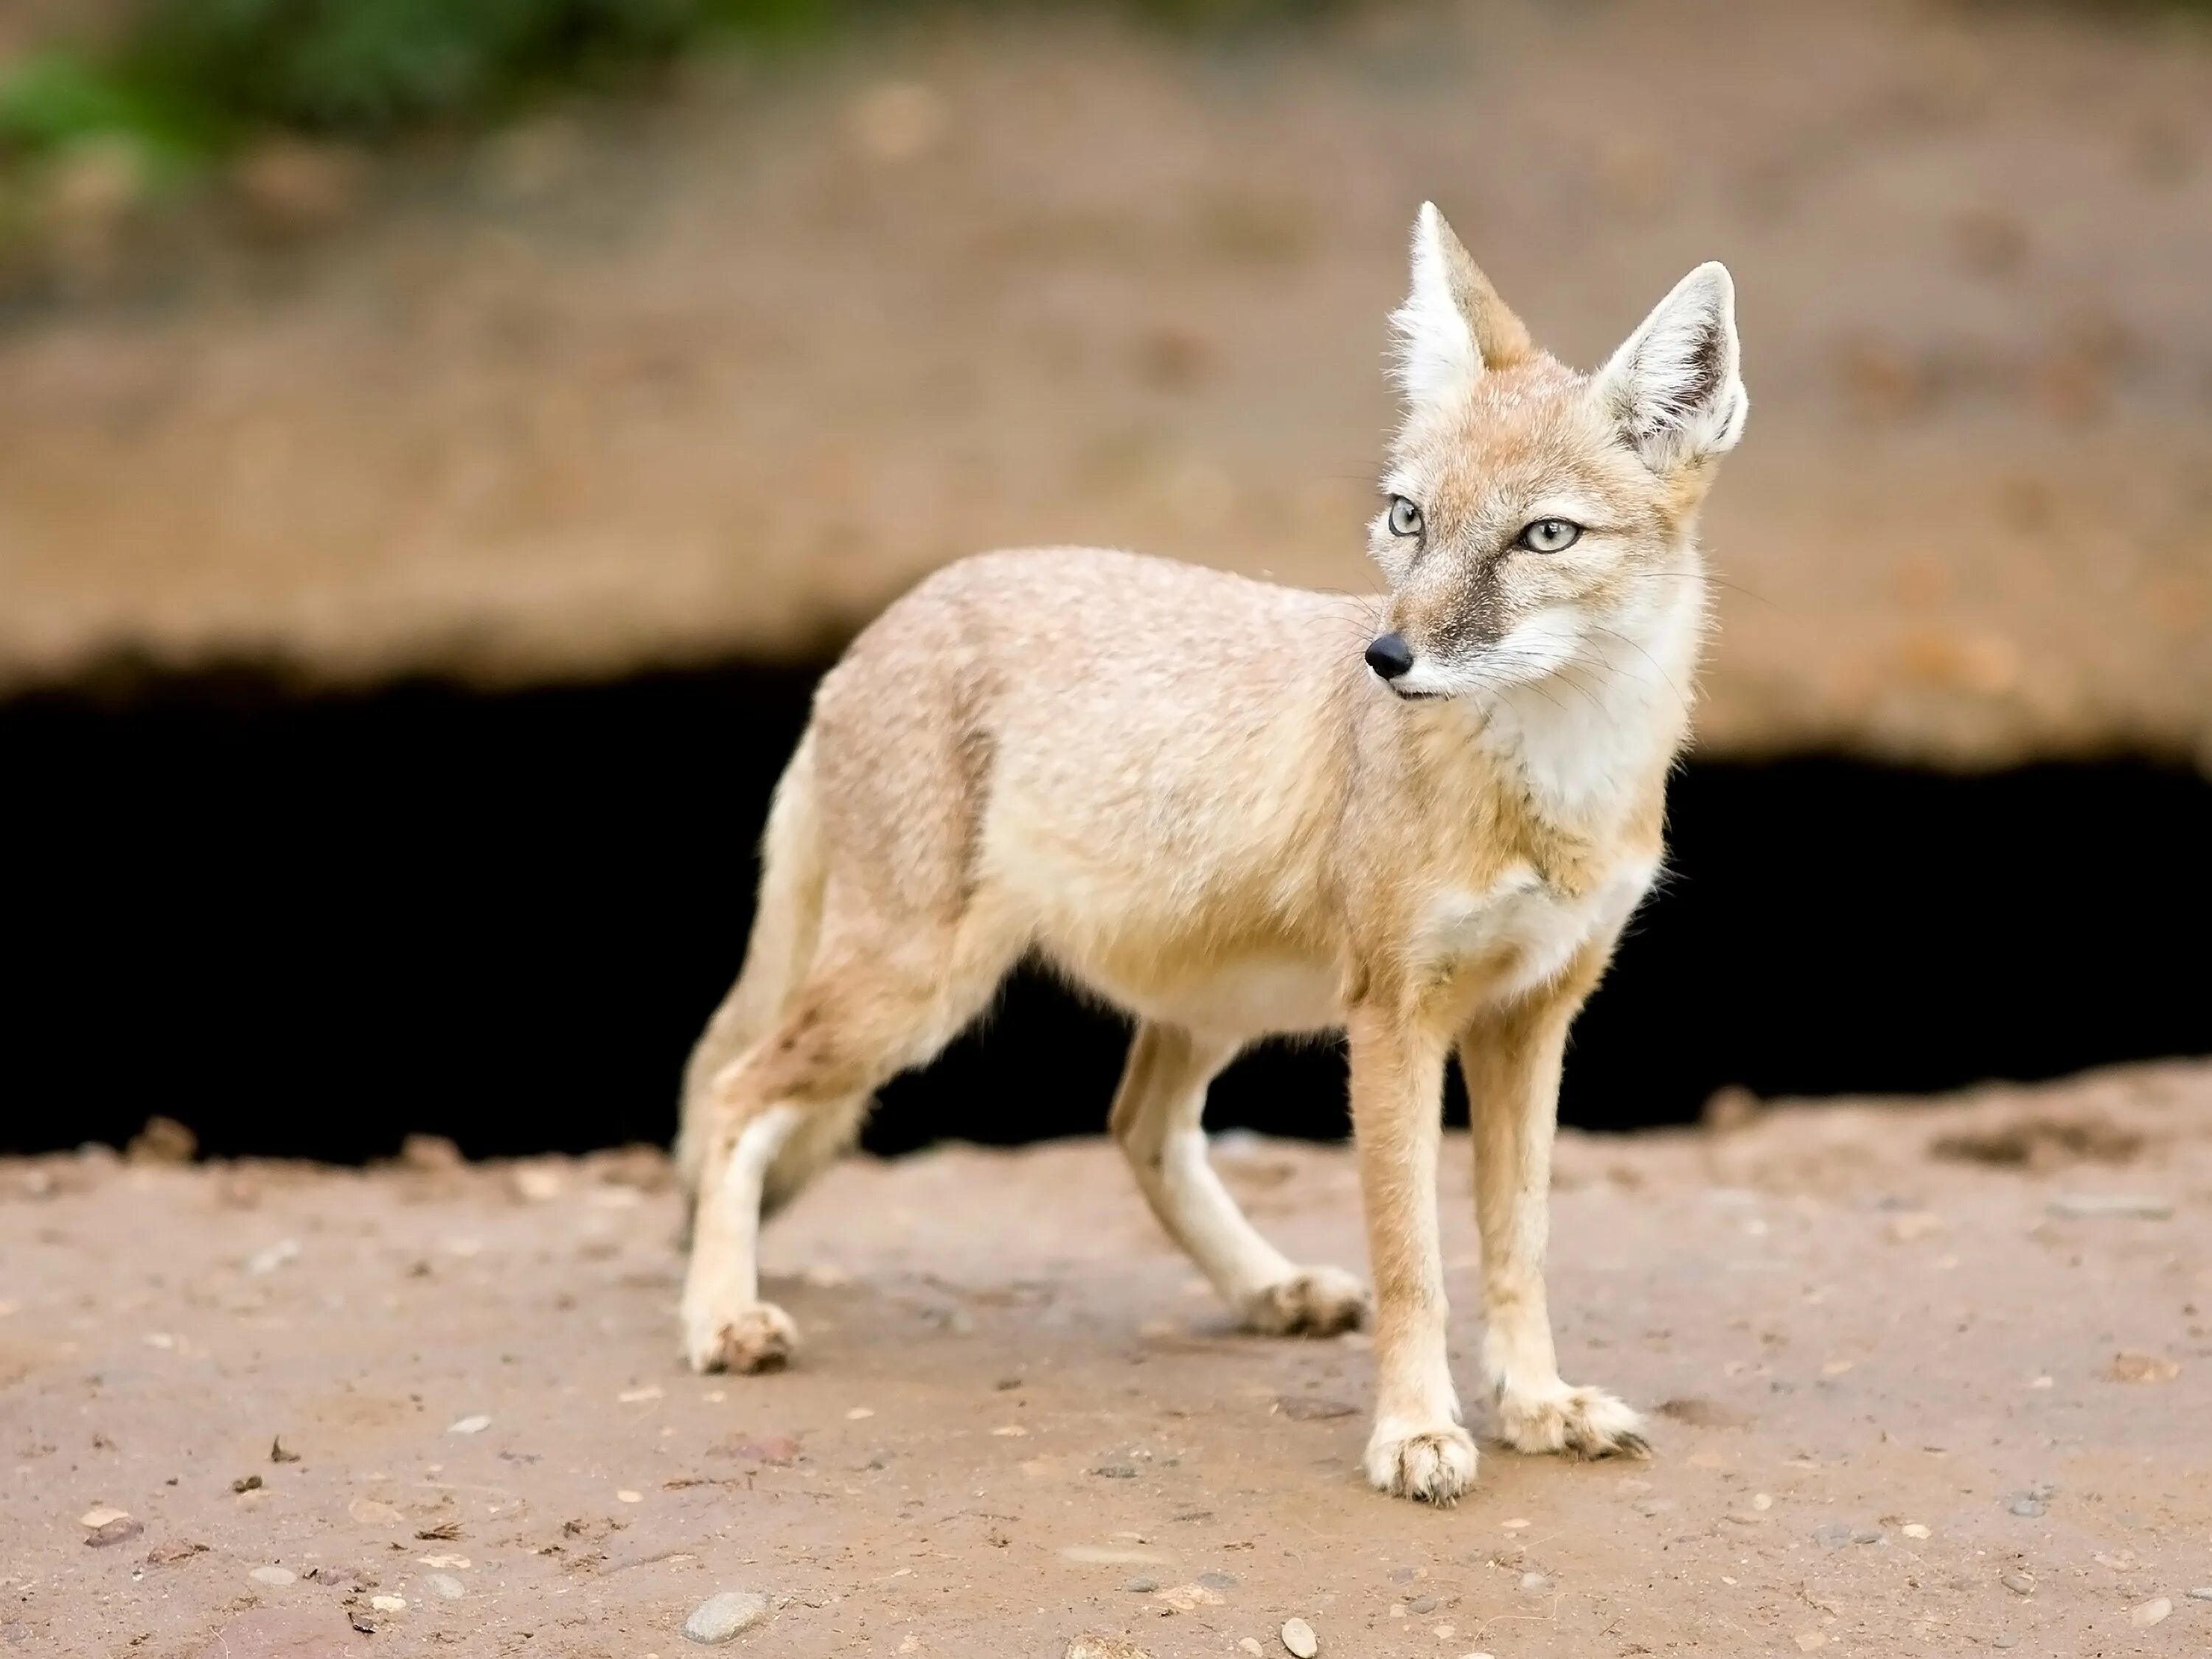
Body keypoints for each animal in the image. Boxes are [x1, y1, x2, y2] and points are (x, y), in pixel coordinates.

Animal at [672, 204, 1743, 1504]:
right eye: (1409, 518)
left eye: (1544, 536)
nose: (1386, 656)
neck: (1553, 791)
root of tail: (882, 624)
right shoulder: (1396, 1016)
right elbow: (1414, 1258)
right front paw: (1416, 1430)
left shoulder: (1534, 1014)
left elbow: (1516, 1244)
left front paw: (1536, 1405)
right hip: (911, 997)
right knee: (732, 1093)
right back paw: (719, 1315)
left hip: (1208, 1005)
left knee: (1139, 1126)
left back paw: (1267, 1287)